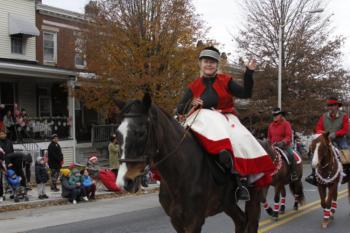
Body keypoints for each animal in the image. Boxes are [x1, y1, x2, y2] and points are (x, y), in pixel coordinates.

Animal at [115, 93, 266, 233]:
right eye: (117, 134)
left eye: (141, 133)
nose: (124, 181)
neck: (180, 173)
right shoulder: (176, 221)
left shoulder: (194, 222)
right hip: (228, 203)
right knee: (241, 220)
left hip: (253, 197)